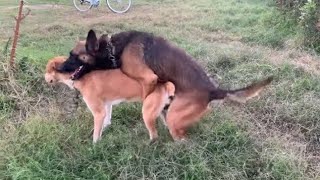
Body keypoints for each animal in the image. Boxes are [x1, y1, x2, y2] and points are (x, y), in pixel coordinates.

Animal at [57, 29, 272, 141]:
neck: (113, 48)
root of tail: (214, 90)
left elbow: (147, 98)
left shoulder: (149, 79)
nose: (59, 67)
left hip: (176, 118)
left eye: (72, 56)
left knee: (181, 136)